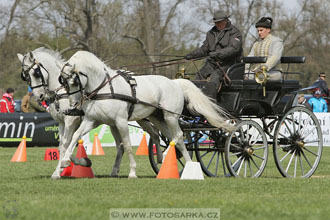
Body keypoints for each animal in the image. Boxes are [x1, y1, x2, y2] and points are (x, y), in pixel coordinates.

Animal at [59, 50, 235, 178]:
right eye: (64, 82)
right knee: (173, 138)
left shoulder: (120, 121)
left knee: (177, 136)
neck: (105, 88)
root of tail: (175, 82)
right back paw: (187, 165)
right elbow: (75, 137)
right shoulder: (91, 120)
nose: (73, 105)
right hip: (157, 118)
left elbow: (127, 146)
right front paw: (66, 161)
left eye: (74, 81)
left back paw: (169, 156)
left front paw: (132, 172)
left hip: (171, 117)